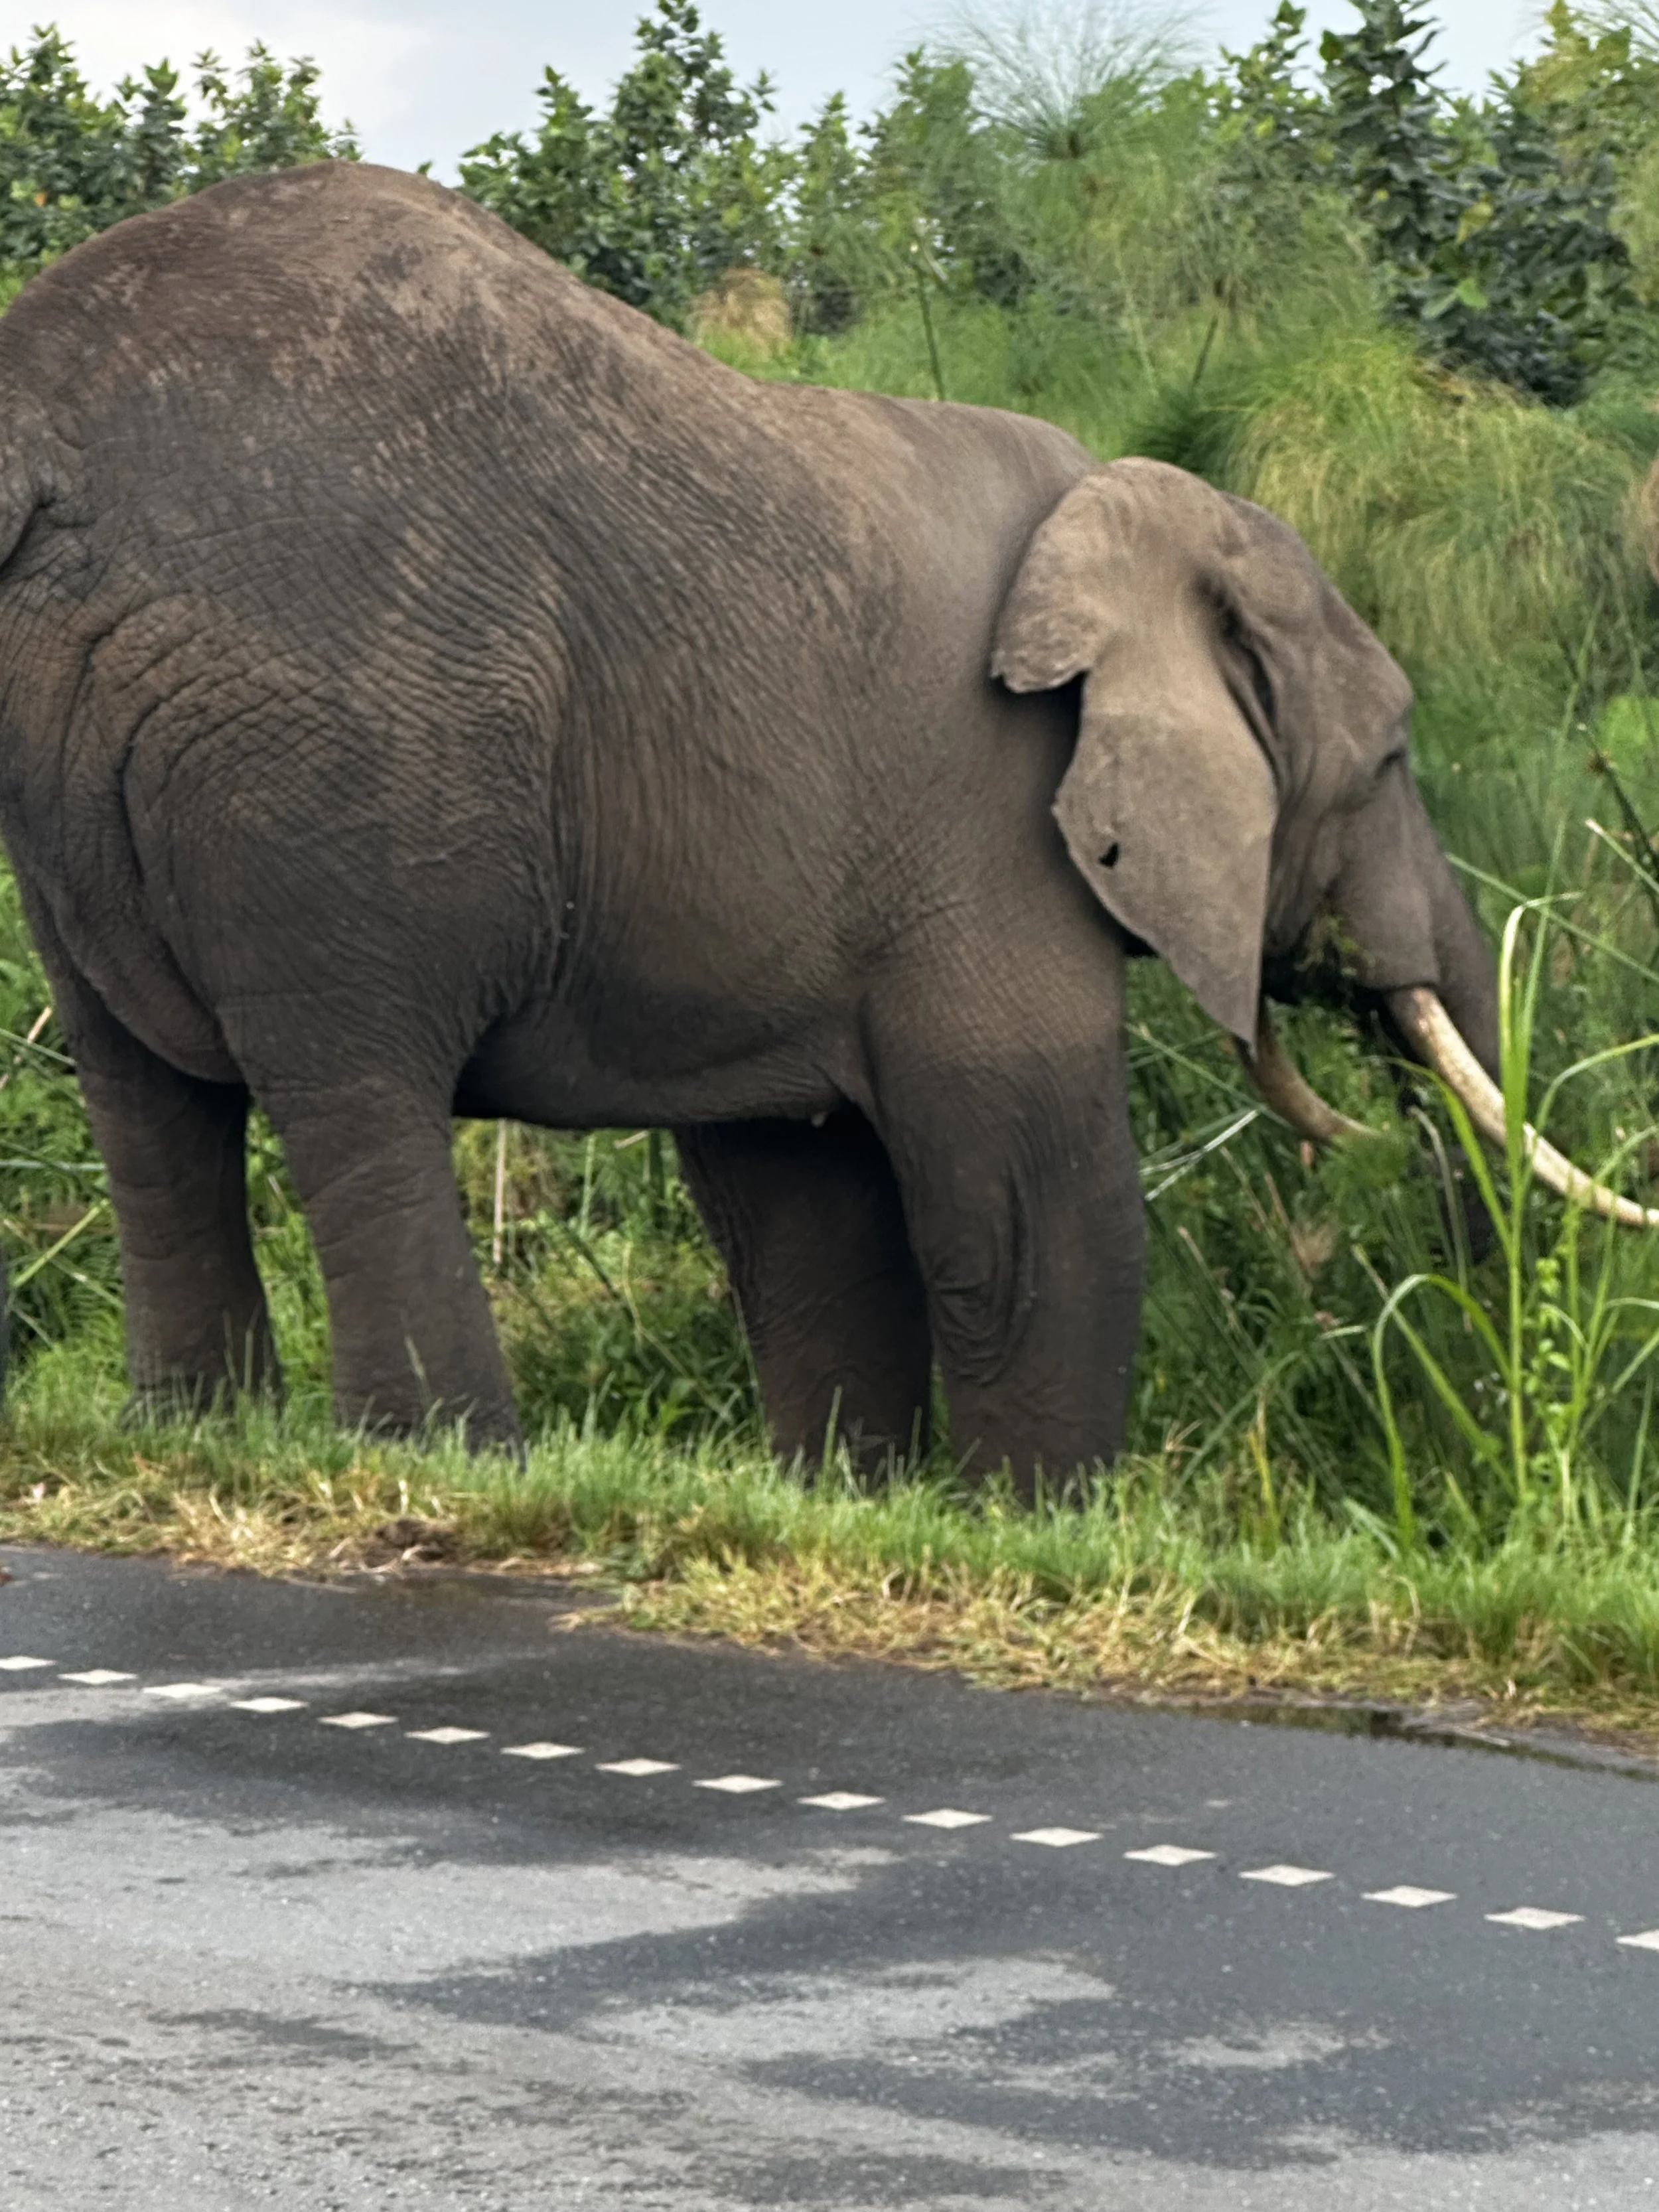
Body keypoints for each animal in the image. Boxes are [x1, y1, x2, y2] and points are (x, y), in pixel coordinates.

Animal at [0, 162, 1632, 1487]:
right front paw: (1036, 1524)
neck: (1124, 513)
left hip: (85, 774)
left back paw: (195, 1434)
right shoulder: (984, 814)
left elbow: (806, 1214)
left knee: (148, 1106)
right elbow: (1027, 1208)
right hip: (345, 753)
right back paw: (454, 1463)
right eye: (1392, 755)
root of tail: (47, 443)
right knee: (360, 1098)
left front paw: (846, 1495)